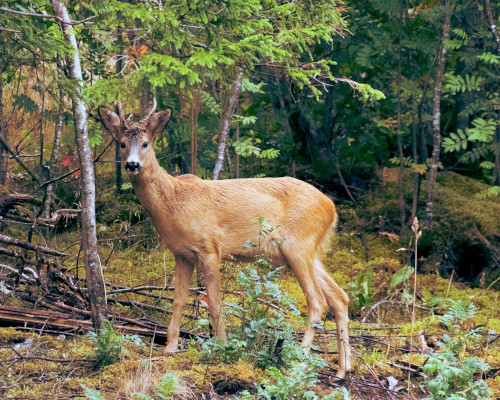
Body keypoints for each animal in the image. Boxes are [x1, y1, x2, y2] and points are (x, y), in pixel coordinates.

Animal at [97, 101, 352, 376]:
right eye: (122, 143)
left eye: (146, 143)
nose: (132, 165)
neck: (174, 203)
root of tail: (331, 208)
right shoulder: (182, 254)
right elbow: (178, 301)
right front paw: (170, 348)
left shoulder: (209, 248)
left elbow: (215, 303)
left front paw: (223, 347)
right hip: (309, 251)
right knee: (339, 297)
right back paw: (343, 369)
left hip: (297, 246)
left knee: (317, 303)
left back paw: (299, 359)